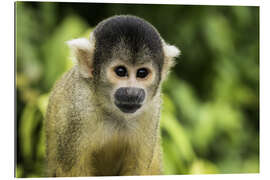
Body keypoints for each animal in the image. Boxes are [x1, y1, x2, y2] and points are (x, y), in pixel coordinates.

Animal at [45, 14, 180, 176]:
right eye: (120, 71)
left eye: (142, 73)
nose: (132, 93)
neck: (115, 114)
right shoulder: (77, 108)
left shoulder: (152, 110)